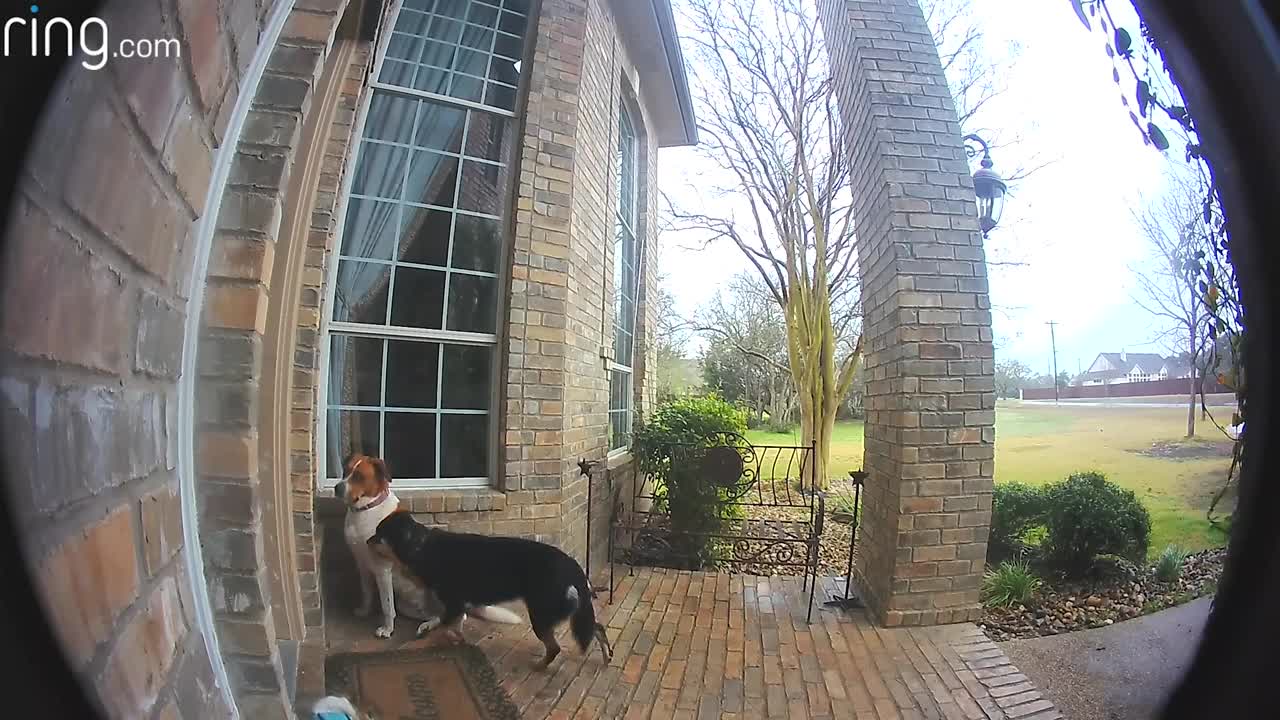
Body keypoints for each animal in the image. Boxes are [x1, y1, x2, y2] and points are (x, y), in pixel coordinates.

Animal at [368, 507, 611, 666]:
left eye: (379, 535)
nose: (367, 541)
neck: (421, 546)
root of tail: (572, 565)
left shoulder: (454, 603)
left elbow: (448, 626)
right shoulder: (457, 605)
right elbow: (453, 626)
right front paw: (456, 639)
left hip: (541, 615)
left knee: (555, 647)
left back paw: (541, 665)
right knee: (596, 627)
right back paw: (607, 655)